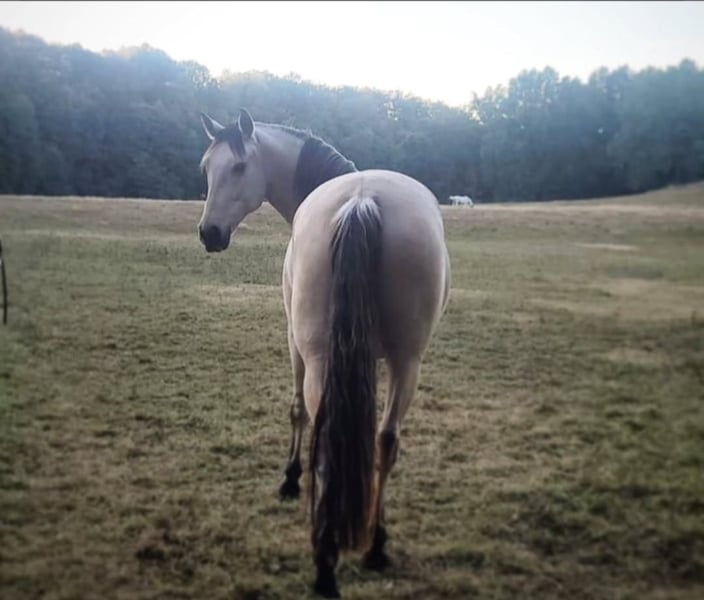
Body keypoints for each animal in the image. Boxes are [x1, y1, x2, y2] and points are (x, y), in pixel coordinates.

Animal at [197, 108, 451, 598]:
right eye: (205, 168)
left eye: (238, 166)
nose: (209, 233)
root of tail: (362, 201)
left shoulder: (294, 342)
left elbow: (296, 410)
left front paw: (290, 479)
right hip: (407, 361)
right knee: (386, 439)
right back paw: (375, 545)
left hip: (318, 357)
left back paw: (326, 563)